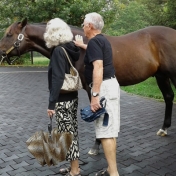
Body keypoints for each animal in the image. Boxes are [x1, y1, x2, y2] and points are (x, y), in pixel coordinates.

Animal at [0, 18, 176, 154]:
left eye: (9, 34)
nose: (0, 52)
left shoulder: (92, 88)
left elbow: (97, 112)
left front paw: (96, 145)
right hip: (161, 75)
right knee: (169, 97)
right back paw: (164, 128)